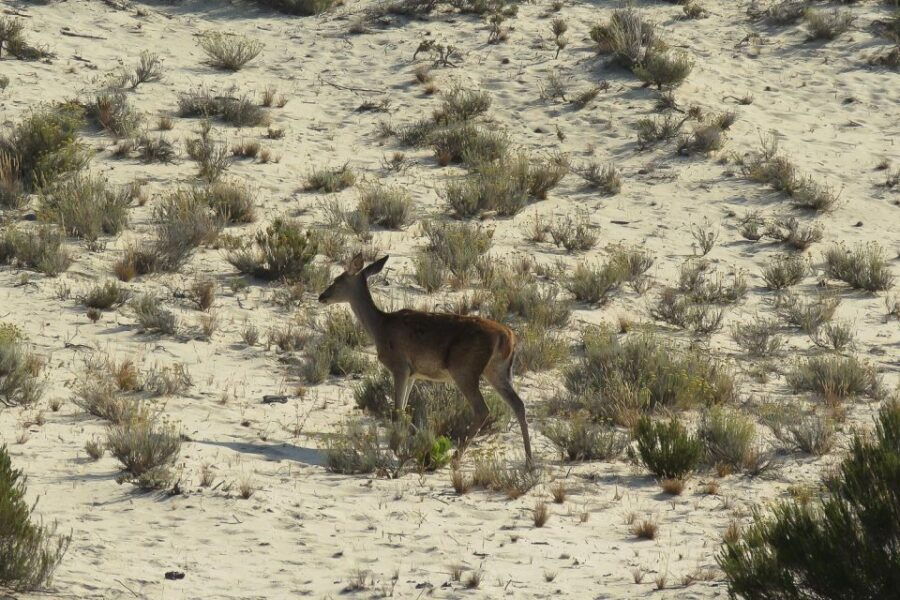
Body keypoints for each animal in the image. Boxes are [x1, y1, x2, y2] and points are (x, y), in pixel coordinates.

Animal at [322, 251, 536, 466]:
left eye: (337, 280)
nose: (321, 297)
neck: (380, 327)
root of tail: (508, 336)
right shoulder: (413, 373)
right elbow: (404, 410)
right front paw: (412, 442)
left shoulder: (399, 366)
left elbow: (397, 410)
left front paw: (395, 449)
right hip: (498, 370)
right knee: (518, 404)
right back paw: (529, 461)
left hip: (465, 369)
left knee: (483, 409)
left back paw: (456, 457)